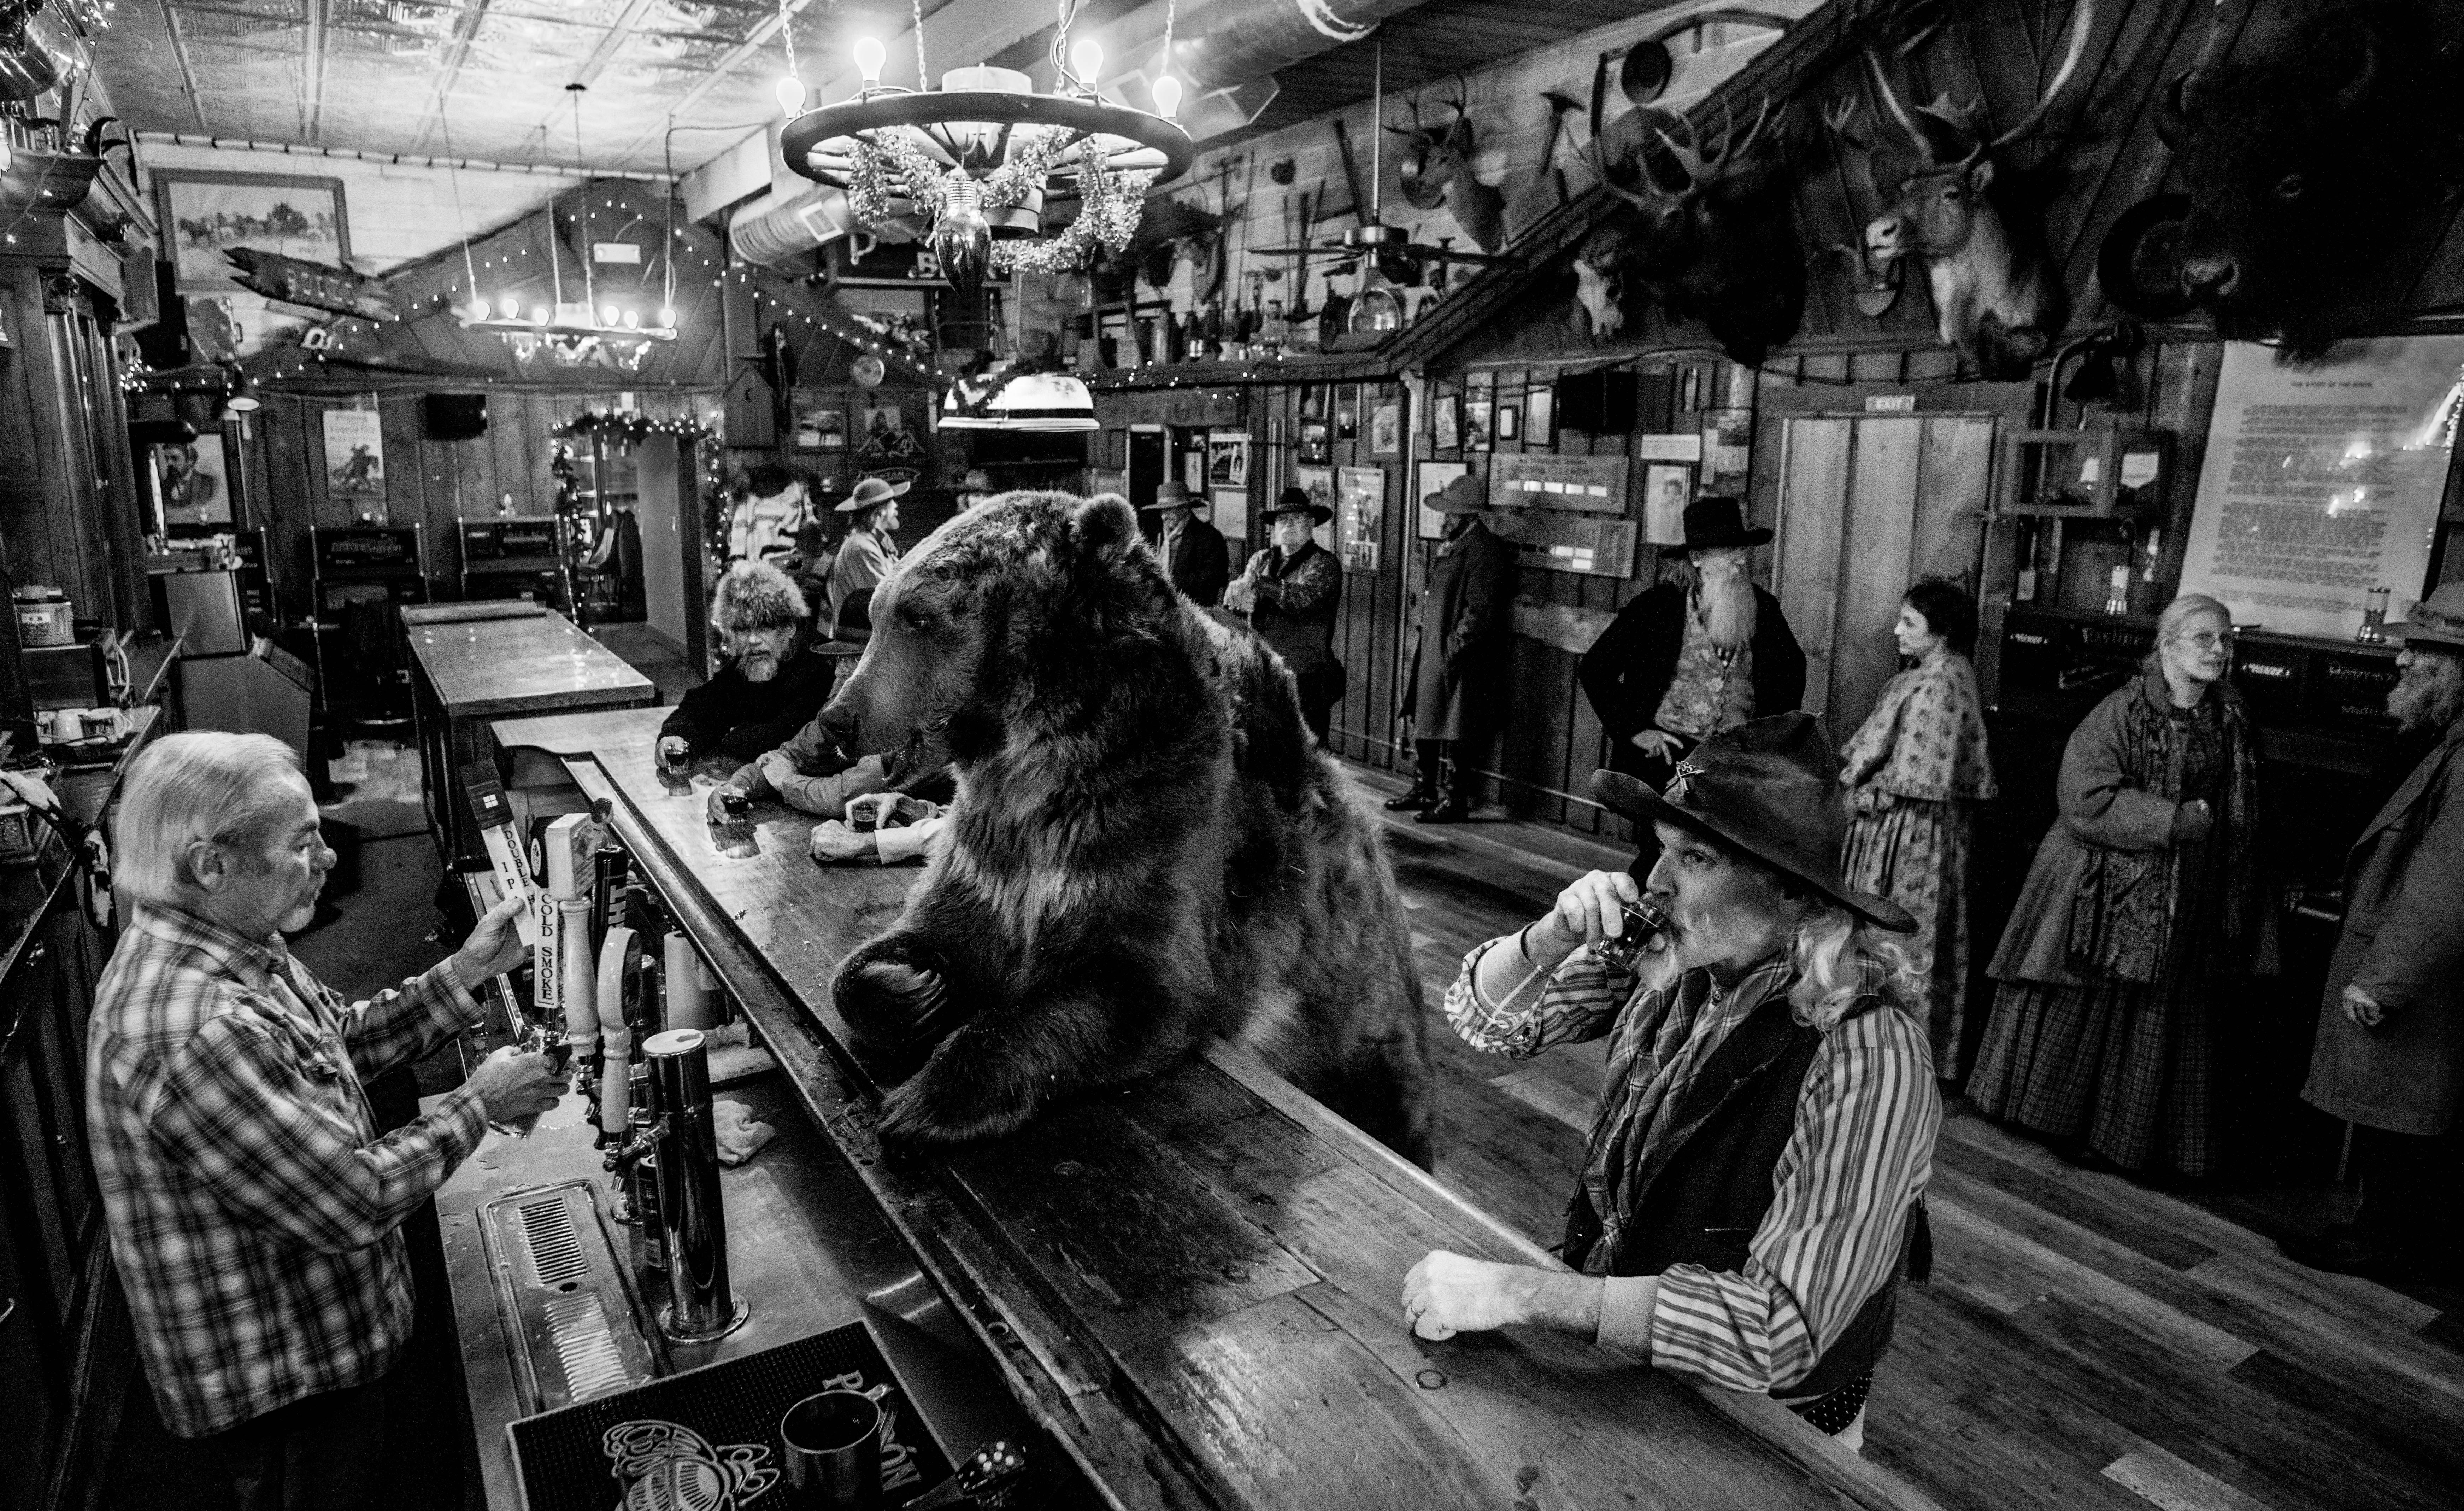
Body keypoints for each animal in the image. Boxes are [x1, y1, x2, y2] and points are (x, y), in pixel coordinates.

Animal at [818, 488, 1439, 1158]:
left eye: (918, 617)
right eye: (879, 612)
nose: (837, 718)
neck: (1036, 757)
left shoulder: (1157, 828)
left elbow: (1137, 986)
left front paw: (922, 1102)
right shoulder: (991, 848)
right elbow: (922, 933)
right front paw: (911, 987)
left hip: (1363, 1021)